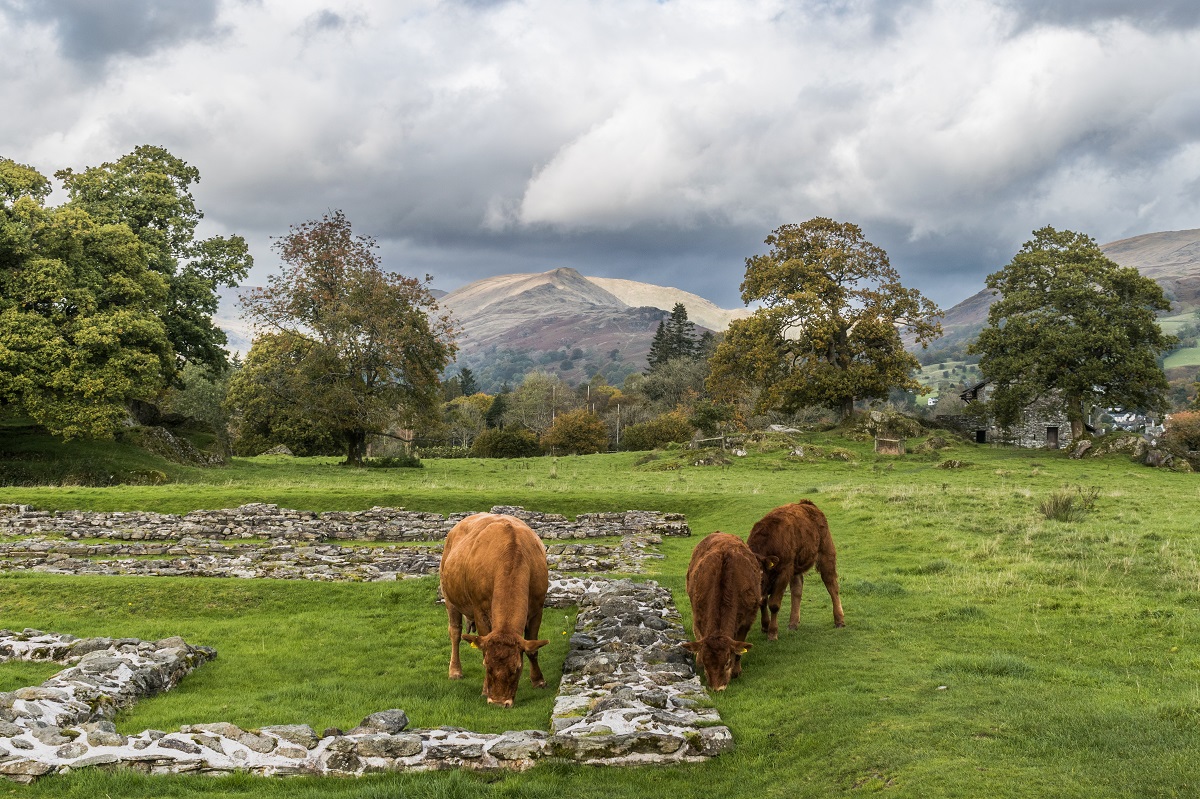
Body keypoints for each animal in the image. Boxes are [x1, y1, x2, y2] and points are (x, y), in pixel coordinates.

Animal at [441, 511, 552, 705]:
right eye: (487, 666)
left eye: (517, 668)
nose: (499, 702)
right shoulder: (480, 610)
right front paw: (485, 690)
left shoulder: (537, 609)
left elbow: (533, 650)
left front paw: (538, 680)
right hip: (449, 597)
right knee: (455, 633)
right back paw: (455, 671)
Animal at [681, 532, 763, 686]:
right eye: (706, 663)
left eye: (727, 662)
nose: (717, 687)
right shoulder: (699, 617)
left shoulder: (747, 619)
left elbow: (739, 647)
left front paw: (736, 671)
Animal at [748, 501, 844, 638]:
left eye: (760, 578)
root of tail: (806, 504)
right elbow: (764, 601)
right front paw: (765, 625)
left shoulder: (784, 573)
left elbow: (774, 604)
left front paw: (772, 633)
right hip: (796, 566)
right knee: (797, 589)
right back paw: (793, 623)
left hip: (826, 554)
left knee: (832, 586)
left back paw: (839, 620)